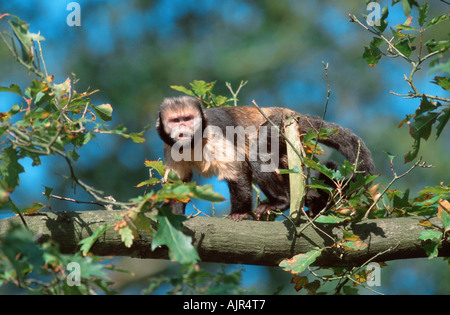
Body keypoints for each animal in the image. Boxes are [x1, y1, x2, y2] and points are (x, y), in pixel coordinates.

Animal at [156, 96, 374, 222]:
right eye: (175, 121)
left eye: (188, 119)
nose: (182, 130)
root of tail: (293, 114)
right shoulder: (168, 146)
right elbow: (178, 183)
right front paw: (174, 214)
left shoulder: (213, 132)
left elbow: (237, 169)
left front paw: (240, 212)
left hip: (280, 126)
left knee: (257, 150)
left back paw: (281, 201)